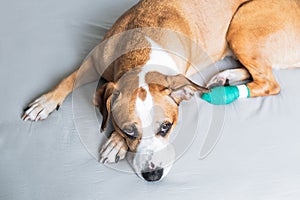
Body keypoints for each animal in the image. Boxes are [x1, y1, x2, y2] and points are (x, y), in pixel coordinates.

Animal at [21, 0, 300, 181]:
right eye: (129, 130)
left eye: (166, 127)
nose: (152, 174)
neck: (141, 52)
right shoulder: (93, 60)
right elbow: (69, 78)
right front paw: (45, 102)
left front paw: (114, 144)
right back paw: (226, 77)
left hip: (242, 23)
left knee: (269, 83)